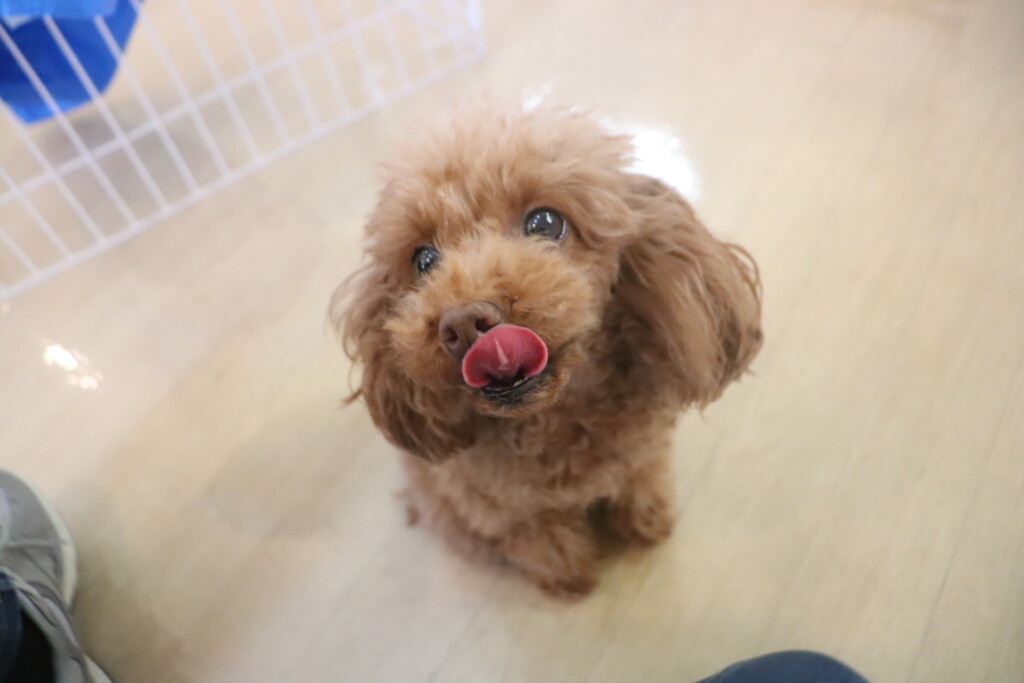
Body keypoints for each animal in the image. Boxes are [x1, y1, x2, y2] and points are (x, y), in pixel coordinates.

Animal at [330, 104, 762, 598]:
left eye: (545, 223)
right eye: (423, 260)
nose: (462, 322)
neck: (559, 418)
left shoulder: (641, 459)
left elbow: (641, 487)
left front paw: (648, 526)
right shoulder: (511, 513)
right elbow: (546, 544)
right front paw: (572, 583)